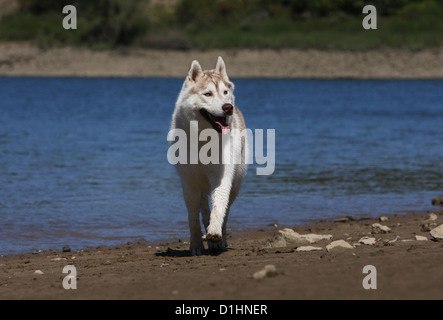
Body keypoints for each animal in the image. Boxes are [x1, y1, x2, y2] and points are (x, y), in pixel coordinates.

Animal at [170, 57, 248, 255]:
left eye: (225, 92)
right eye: (208, 93)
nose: (228, 108)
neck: (203, 140)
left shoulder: (222, 177)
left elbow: (219, 207)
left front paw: (214, 232)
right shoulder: (189, 183)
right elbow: (193, 218)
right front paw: (196, 245)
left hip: (236, 183)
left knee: (225, 212)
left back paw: (219, 240)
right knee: (203, 206)